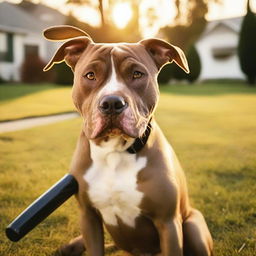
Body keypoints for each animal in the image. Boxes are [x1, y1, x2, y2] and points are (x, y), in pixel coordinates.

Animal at [43, 25, 212, 256]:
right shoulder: (88, 217)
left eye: (137, 74)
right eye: (90, 75)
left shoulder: (168, 223)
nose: (112, 103)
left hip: (193, 226)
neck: (114, 151)